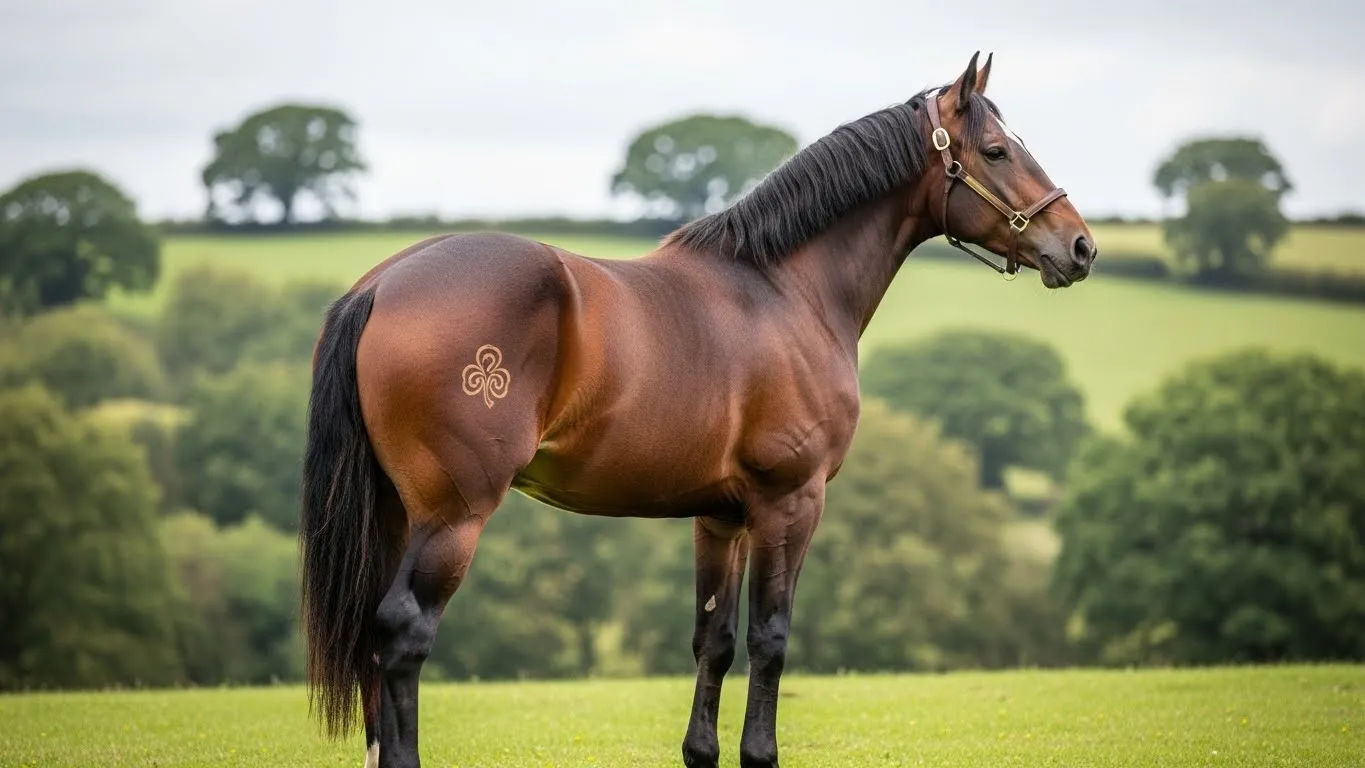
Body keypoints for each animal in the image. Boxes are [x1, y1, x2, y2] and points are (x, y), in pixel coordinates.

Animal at [300, 52, 1096, 768]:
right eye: (995, 150)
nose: (1082, 246)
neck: (785, 290)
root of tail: (381, 285)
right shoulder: (789, 502)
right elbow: (770, 638)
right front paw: (760, 753)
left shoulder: (720, 517)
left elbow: (713, 641)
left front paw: (703, 750)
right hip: (453, 517)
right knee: (403, 634)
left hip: (396, 512)